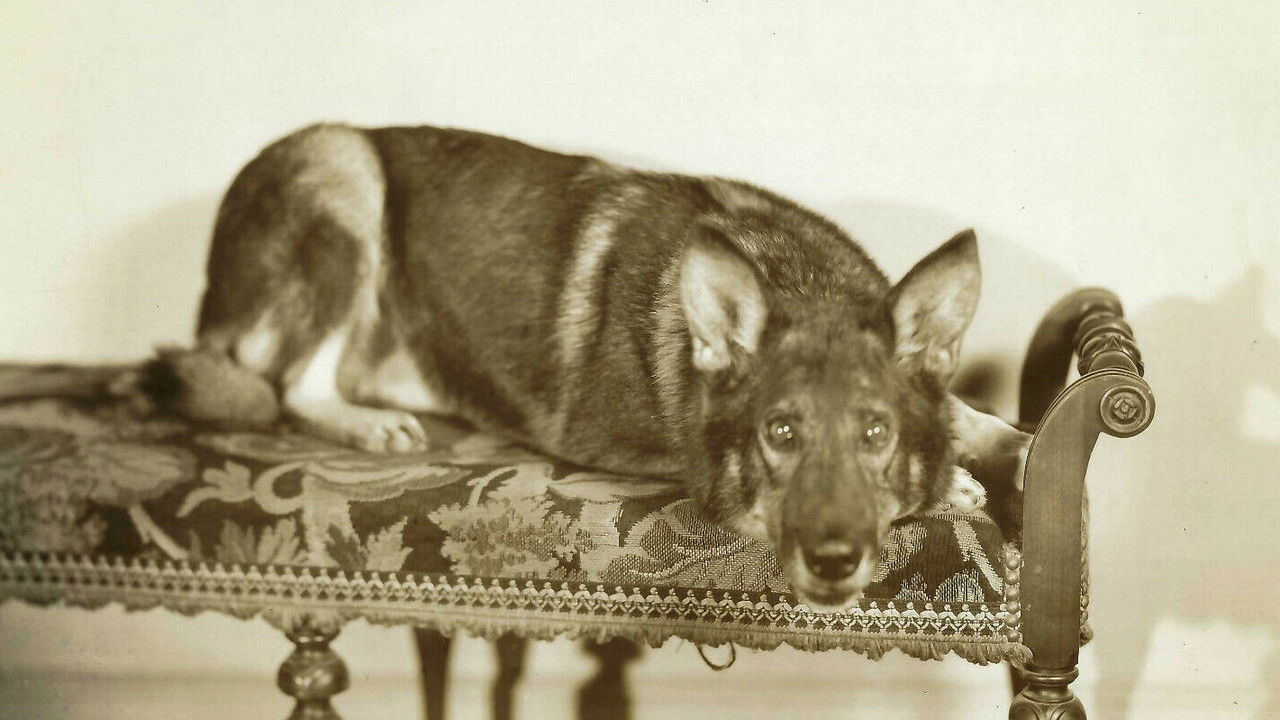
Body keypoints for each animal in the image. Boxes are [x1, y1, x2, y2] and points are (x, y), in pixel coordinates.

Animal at [140, 123, 1028, 610]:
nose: (835, 562)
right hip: (343, 168)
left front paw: (1005, 449)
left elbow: (973, 417)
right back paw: (368, 424)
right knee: (290, 384)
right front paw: (953, 485)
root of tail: (210, 296)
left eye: (877, 433)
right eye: (779, 435)